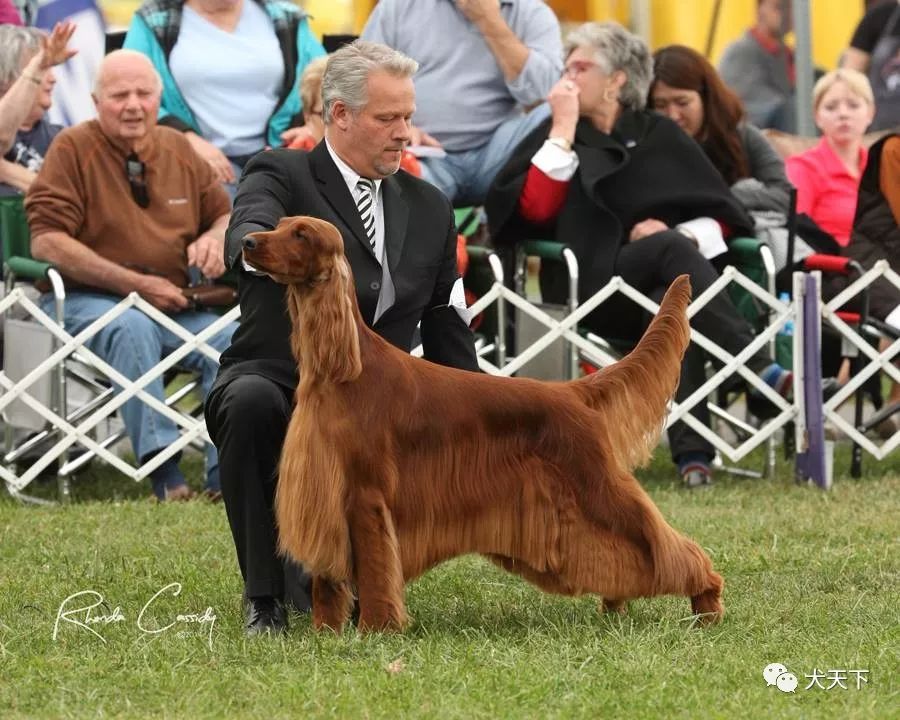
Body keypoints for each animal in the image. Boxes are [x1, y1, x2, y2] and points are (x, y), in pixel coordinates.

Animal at [241, 217, 724, 632]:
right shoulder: (321, 488)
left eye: (301, 234)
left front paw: (376, 630)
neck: (341, 369)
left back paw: (708, 605)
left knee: (669, 546)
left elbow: (377, 570)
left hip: (599, 488)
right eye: (280, 225)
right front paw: (325, 634)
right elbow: (326, 580)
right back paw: (618, 605)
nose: (246, 241)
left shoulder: (365, 494)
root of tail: (573, 391)